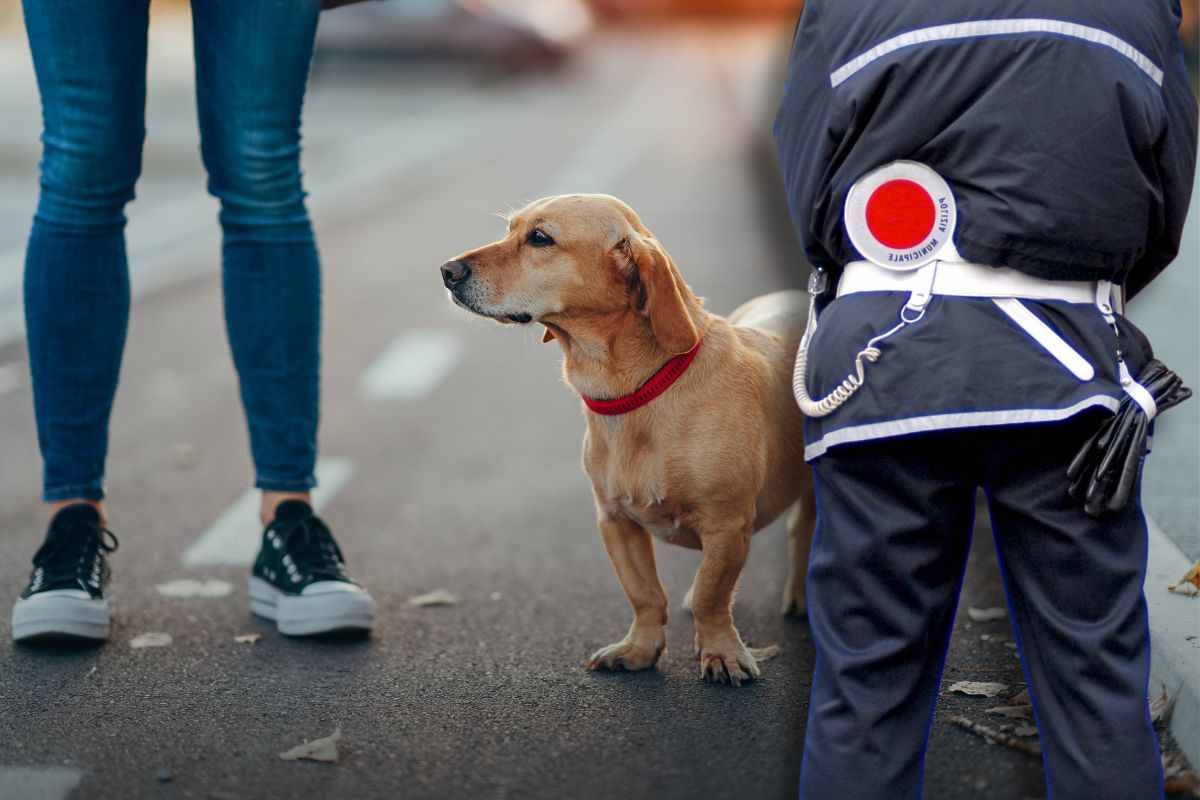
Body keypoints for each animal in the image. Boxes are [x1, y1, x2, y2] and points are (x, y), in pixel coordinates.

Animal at [441, 195, 816, 690]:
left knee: (802, 530)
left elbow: (714, 596)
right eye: (510, 229)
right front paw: (640, 649)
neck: (639, 392)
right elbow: (645, 594)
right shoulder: (616, 520)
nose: (446, 271)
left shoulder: (727, 523)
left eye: (540, 237)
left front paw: (722, 651)